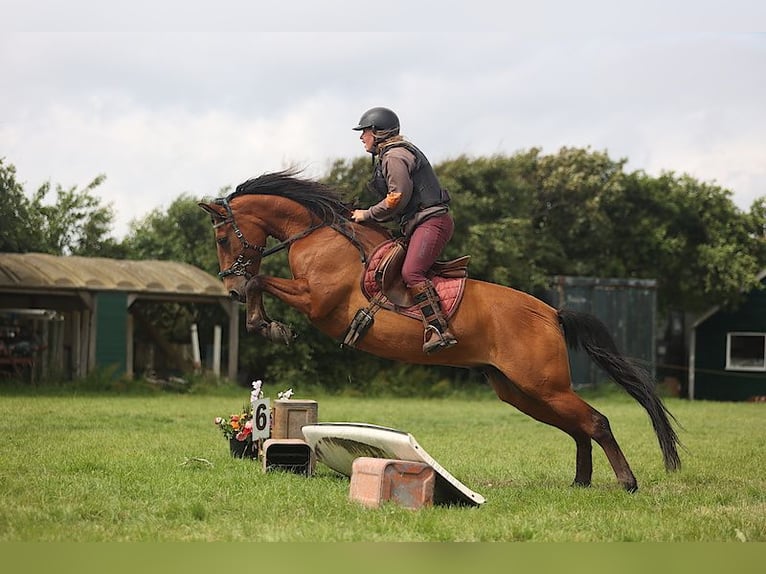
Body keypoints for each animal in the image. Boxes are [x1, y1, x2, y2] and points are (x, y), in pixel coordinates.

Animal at [200, 171, 684, 496]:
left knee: (596, 421)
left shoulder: (317, 301)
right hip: (521, 391)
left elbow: (263, 282)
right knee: (579, 427)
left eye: (223, 238)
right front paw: (267, 322)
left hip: (542, 384)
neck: (318, 237)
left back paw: (626, 482)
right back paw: (581, 481)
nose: (230, 288)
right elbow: (263, 283)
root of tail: (550, 312)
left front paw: (271, 325)